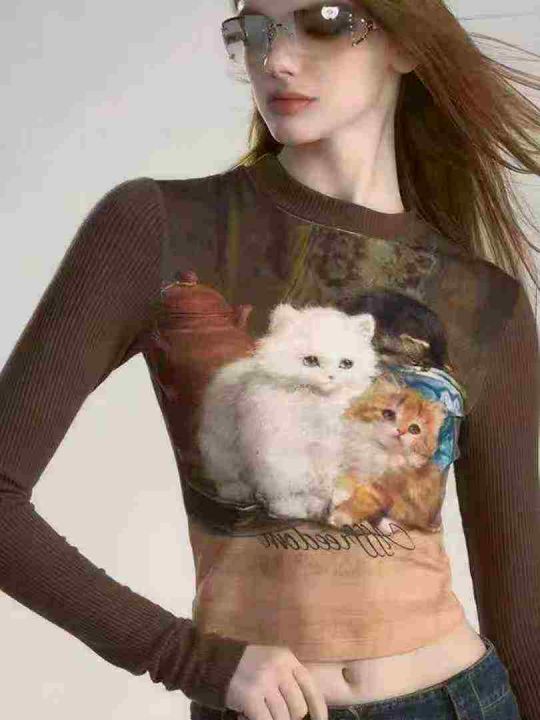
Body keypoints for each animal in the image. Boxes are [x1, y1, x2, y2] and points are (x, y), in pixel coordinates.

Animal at [197, 302, 381, 521]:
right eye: (310, 361)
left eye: (346, 364)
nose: (331, 377)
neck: (316, 407)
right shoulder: (281, 455)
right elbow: (289, 489)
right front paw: (292, 511)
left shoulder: (331, 455)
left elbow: (321, 490)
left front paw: (317, 509)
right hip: (220, 451)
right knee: (227, 479)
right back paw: (239, 493)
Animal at [328, 372, 447, 533]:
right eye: (388, 414)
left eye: (414, 429)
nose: (400, 431)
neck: (381, 451)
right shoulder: (356, 461)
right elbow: (349, 477)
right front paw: (340, 494)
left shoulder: (384, 490)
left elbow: (361, 502)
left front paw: (340, 516)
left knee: (411, 523)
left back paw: (387, 524)